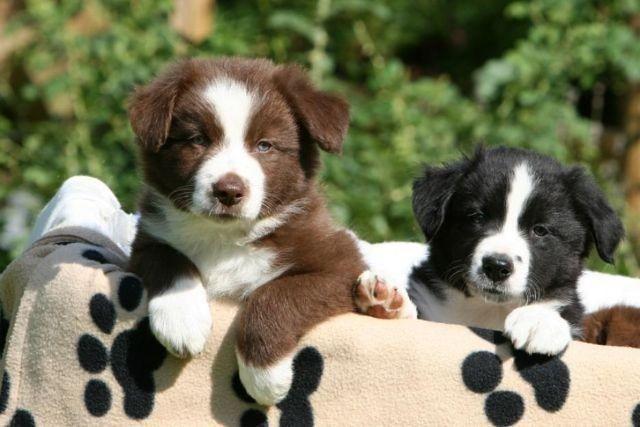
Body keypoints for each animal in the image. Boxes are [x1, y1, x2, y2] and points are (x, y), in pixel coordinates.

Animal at [127, 58, 368, 406]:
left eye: (264, 145)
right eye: (198, 140)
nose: (228, 191)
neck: (224, 238)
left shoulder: (340, 263)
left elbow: (274, 294)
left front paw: (264, 377)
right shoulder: (145, 239)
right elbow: (167, 258)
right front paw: (182, 321)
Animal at [356, 146, 624, 354]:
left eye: (540, 230)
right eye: (477, 217)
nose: (497, 266)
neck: (487, 311)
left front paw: (538, 322)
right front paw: (388, 304)